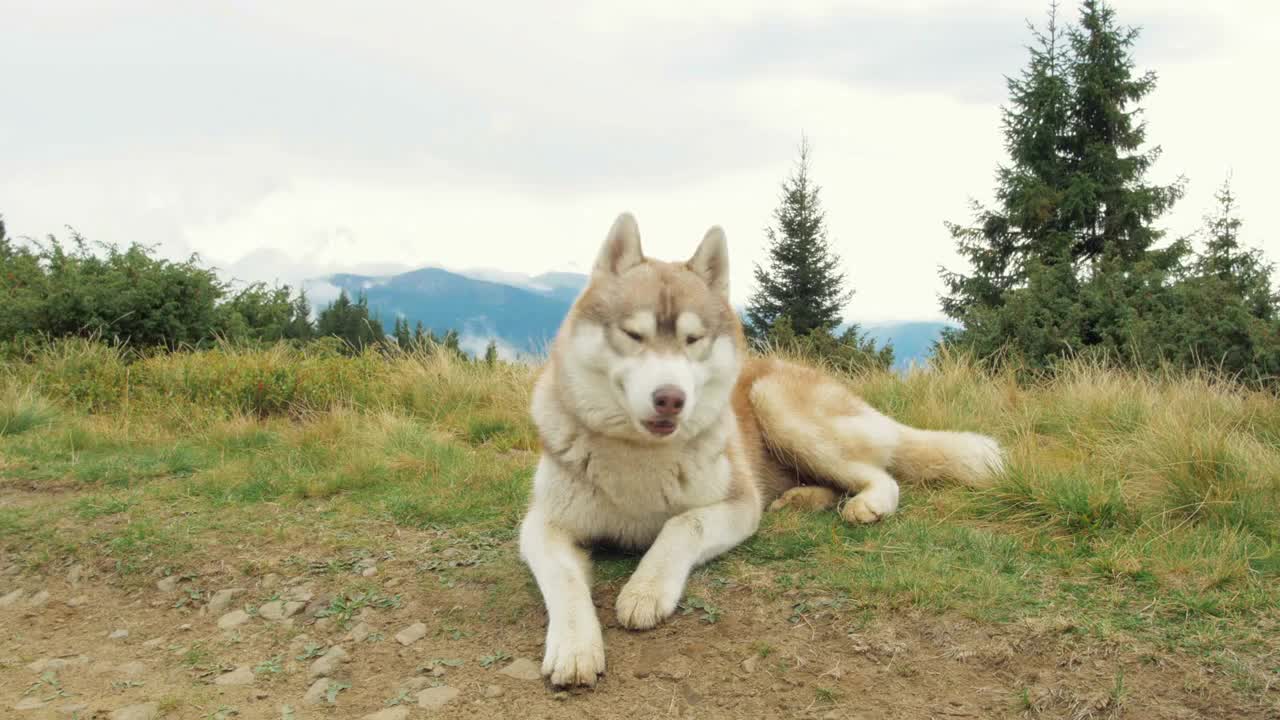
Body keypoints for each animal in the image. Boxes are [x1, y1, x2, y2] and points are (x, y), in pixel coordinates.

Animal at [514, 212, 1003, 681]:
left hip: (777, 404)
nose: (671, 398)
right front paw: (574, 647)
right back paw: (801, 499)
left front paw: (646, 587)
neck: (640, 457)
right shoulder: (543, 524)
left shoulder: (738, 504)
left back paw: (868, 504)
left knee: (880, 474)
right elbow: (564, 580)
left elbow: (682, 525)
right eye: (634, 335)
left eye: (693, 340)